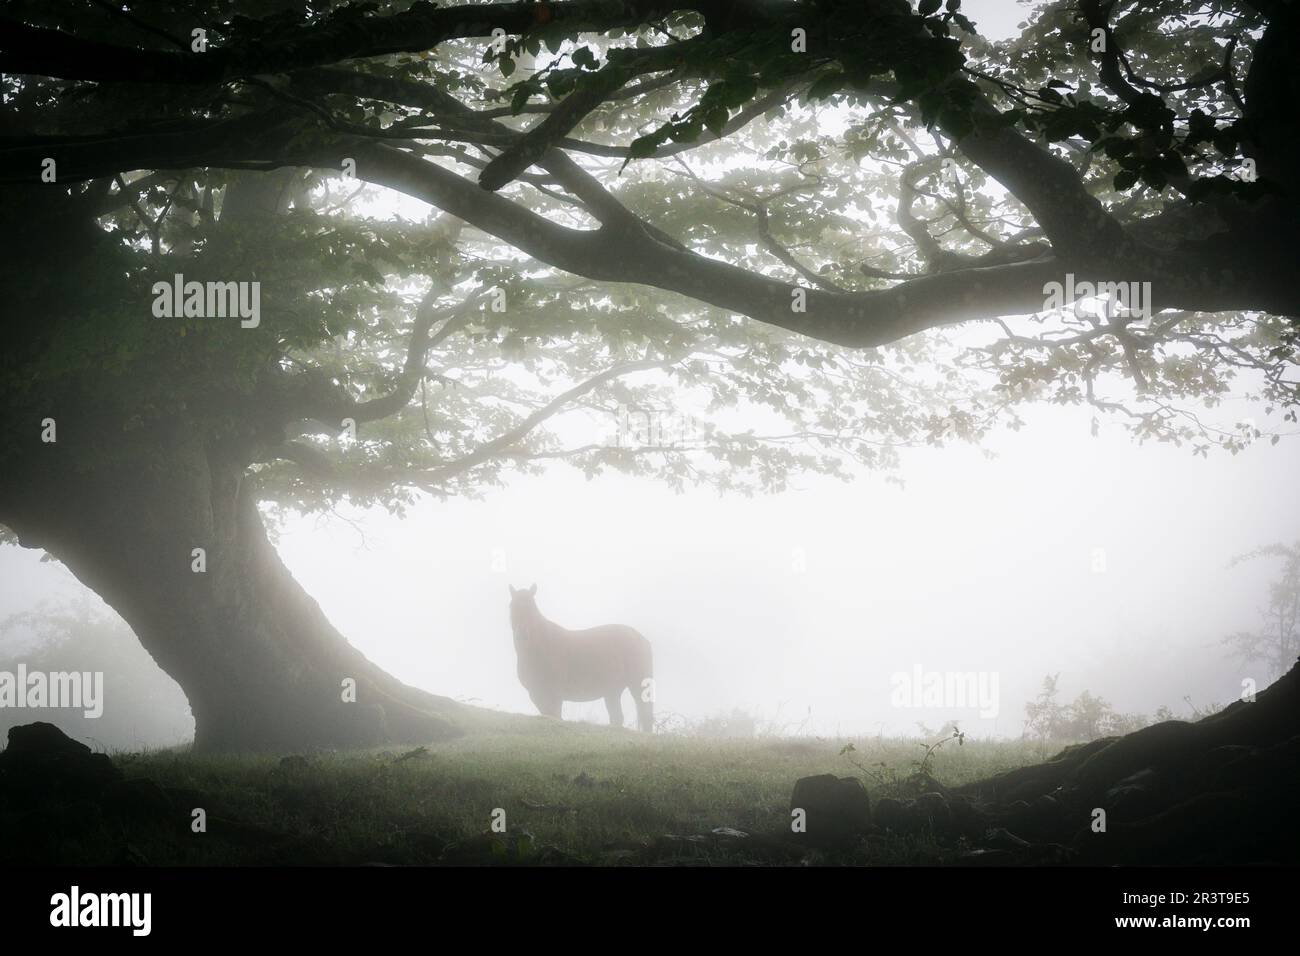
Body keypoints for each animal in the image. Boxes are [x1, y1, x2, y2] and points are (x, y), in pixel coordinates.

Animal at [504, 582, 655, 733]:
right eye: (512, 606)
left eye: (532, 607)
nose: (522, 634)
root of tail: (642, 639)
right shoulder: (537, 694)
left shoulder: (554, 696)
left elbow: (555, 716)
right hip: (612, 692)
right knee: (617, 718)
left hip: (638, 686)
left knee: (645, 715)